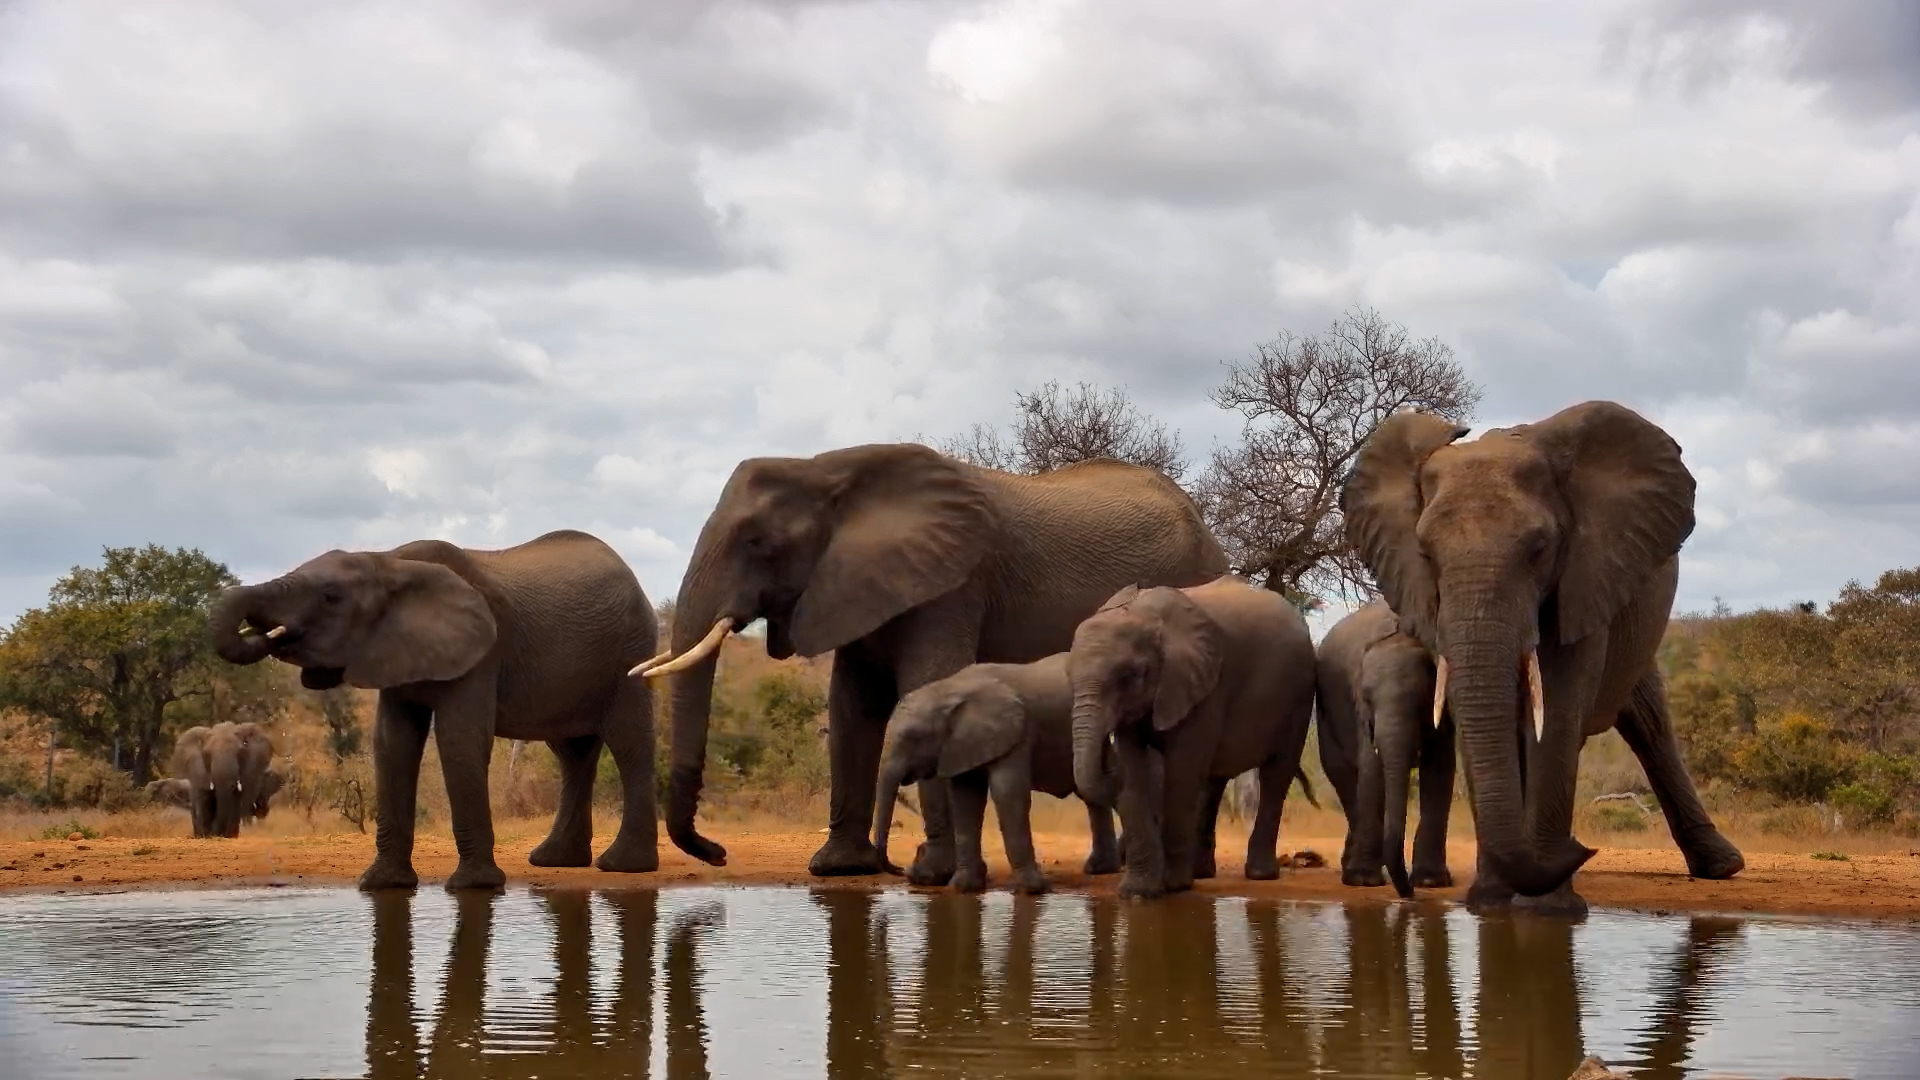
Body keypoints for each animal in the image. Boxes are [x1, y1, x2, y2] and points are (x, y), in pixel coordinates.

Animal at [208, 529, 659, 891]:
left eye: (331, 597)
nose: (264, 636)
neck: (388, 560)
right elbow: (392, 742)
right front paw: (381, 884)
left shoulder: (483, 652)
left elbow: (459, 738)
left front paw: (473, 887)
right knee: (572, 753)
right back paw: (555, 861)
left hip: (630, 649)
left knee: (628, 742)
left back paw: (623, 867)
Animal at [871, 652, 1120, 894]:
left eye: (911, 738)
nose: (901, 869)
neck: (948, 690)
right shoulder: (960, 744)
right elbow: (965, 799)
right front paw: (964, 888)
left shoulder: (1016, 734)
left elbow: (1007, 793)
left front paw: (1034, 890)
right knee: (1093, 792)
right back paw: (1100, 869)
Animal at [1067, 574, 1319, 899]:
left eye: (1129, 676)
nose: (1105, 759)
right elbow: (1134, 771)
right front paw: (1137, 892)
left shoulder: (1205, 685)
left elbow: (1182, 769)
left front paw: (1174, 887)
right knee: (1214, 781)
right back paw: (1201, 873)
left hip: (1299, 697)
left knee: (1276, 775)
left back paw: (1260, 875)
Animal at [1316, 598, 1457, 896]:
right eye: (1367, 700)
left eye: (1422, 702)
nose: (1408, 895)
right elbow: (1371, 770)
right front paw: (1363, 881)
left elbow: (1439, 769)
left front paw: (1431, 882)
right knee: (1343, 777)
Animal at [1341, 400, 1745, 914]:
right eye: (1426, 555)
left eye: (1538, 550)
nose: (1585, 850)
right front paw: (1491, 902)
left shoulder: (1584, 576)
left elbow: (1556, 712)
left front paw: (1546, 909)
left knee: (1648, 724)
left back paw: (1722, 868)